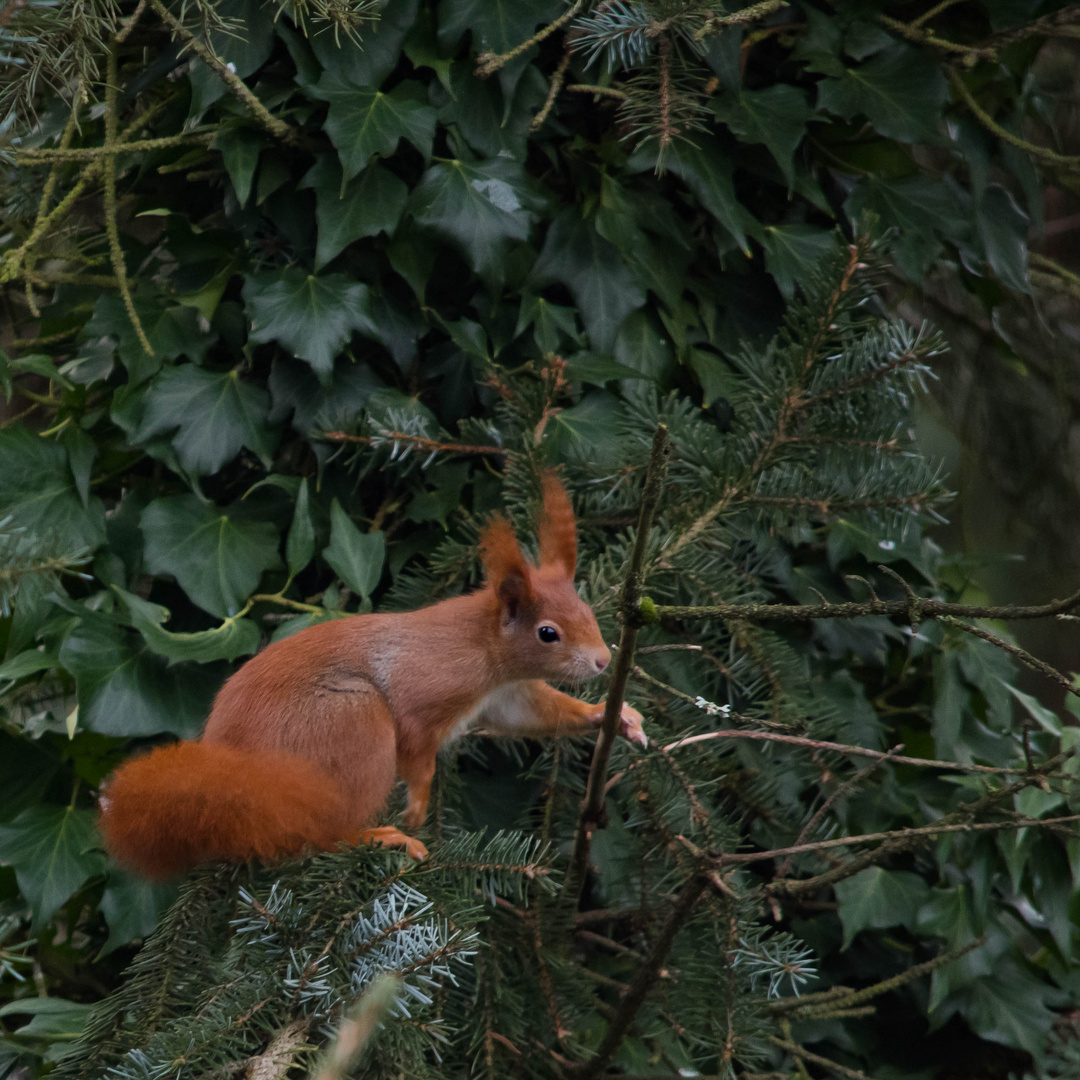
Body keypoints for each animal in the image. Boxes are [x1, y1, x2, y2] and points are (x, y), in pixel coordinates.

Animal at [99, 477, 639, 881]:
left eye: (587, 610)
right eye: (548, 633)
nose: (601, 661)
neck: (484, 647)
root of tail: (245, 783)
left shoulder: (505, 696)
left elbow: (534, 714)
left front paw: (612, 716)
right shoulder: (426, 686)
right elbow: (418, 747)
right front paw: (418, 806)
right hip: (350, 722)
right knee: (322, 836)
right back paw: (381, 837)